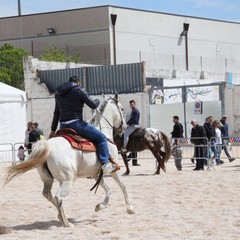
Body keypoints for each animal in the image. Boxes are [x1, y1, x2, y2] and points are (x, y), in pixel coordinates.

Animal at [4, 93, 135, 227]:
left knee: (48, 194)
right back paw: (67, 223)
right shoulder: (114, 170)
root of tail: (48, 146)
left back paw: (60, 216)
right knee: (58, 198)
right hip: (68, 180)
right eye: (122, 109)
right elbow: (123, 186)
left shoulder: (96, 174)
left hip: (49, 179)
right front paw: (130, 209)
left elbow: (108, 190)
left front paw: (100, 206)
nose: (124, 128)